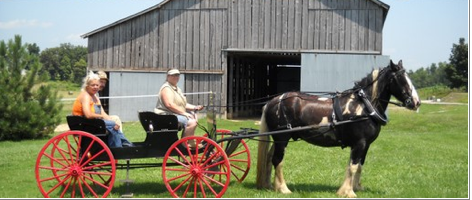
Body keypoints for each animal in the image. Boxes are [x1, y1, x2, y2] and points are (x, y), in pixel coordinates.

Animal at [254, 59, 420, 197]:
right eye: (401, 79)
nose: (416, 102)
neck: (363, 106)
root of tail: (272, 102)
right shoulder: (359, 143)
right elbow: (353, 166)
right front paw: (348, 192)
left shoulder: (365, 145)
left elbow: (359, 166)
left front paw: (356, 187)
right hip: (282, 138)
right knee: (277, 160)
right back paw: (283, 188)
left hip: (278, 139)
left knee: (269, 158)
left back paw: (269, 185)